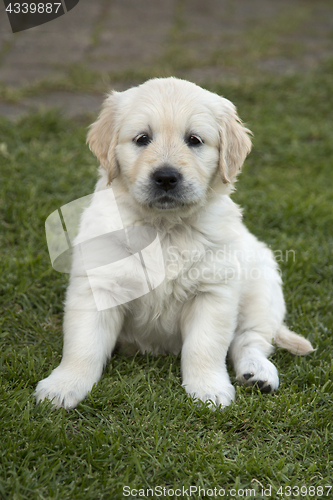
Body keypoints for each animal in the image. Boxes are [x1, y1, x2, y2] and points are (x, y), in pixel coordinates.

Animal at [35, 76, 312, 408]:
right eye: (142, 138)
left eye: (194, 140)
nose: (166, 177)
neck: (163, 228)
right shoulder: (98, 287)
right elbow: (83, 345)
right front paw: (63, 385)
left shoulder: (213, 292)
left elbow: (204, 346)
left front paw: (208, 389)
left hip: (262, 286)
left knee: (251, 338)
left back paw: (257, 373)